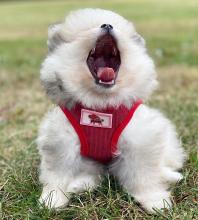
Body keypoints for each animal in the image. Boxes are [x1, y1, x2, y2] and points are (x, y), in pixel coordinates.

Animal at [37, 9, 186, 213]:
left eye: (116, 27)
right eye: (85, 30)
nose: (107, 25)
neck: (100, 103)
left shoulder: (139, 142)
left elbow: (144, 176)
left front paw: (155, 201)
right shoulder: (61, 143)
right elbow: (58, 175)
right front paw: (53, 199)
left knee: (163, 163)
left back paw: (172, 176)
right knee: (94, 173)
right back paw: (80, 185)